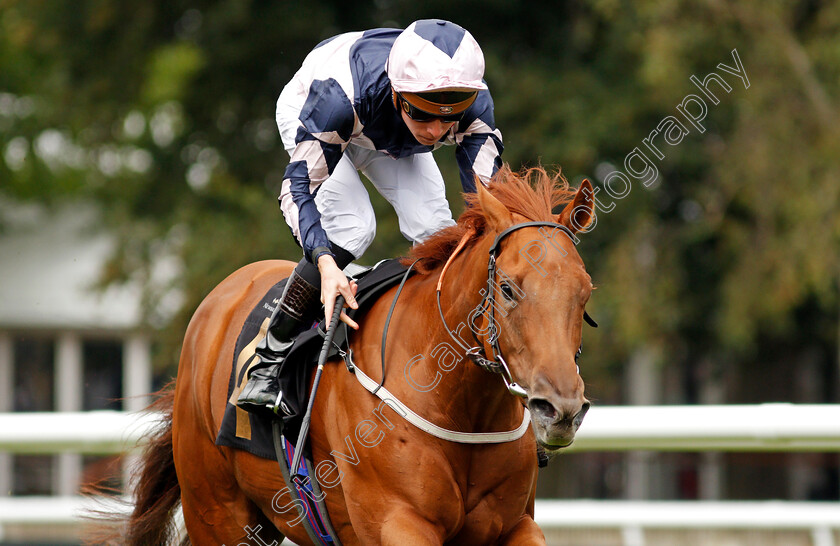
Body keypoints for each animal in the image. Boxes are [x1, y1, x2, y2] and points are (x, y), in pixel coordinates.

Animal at [123, 166, 596, 544]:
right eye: (508, 288)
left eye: (585, 291)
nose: (561, 409)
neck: (459, 405)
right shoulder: (398, 522)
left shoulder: (515, 524)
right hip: (217, 512)